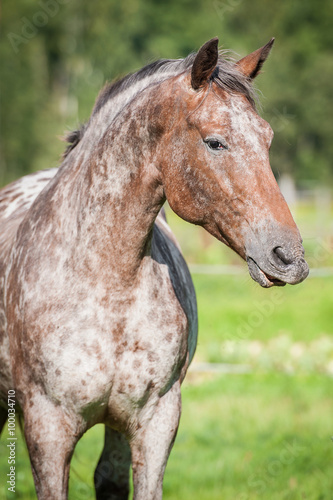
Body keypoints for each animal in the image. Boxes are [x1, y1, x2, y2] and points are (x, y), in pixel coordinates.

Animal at [0, 37, 308, 498]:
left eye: (267, 138)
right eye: (215, 142)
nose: (290, 258)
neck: (108, 285)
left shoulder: (156, 422)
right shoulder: (46, 427)